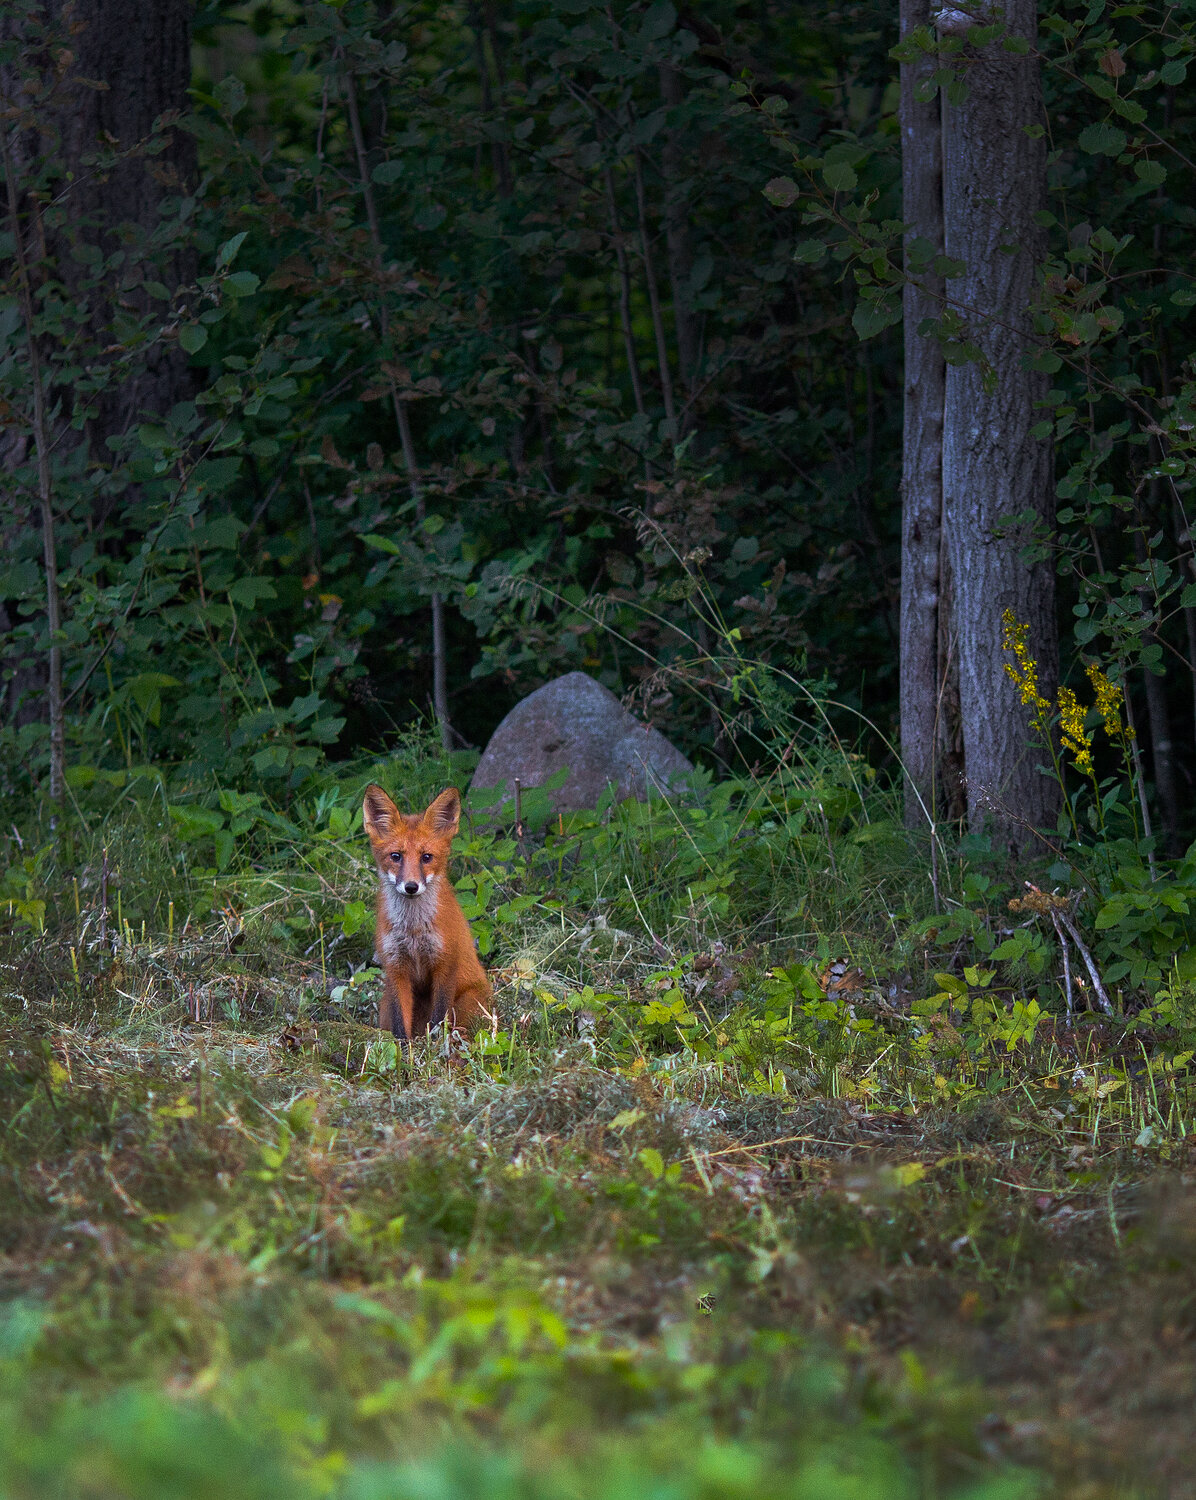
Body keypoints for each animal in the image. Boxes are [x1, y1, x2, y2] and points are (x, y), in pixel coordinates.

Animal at [361, 783, 491, 1040]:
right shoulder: (396, 968)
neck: (413, 930)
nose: (411, 886)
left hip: (470, 1002)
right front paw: (403, 1046)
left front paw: (435, 1045)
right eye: (396, 856)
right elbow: (400, 1023)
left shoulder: (445, 963)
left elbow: (439, 1017)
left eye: (426, 857)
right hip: (385, 1004)